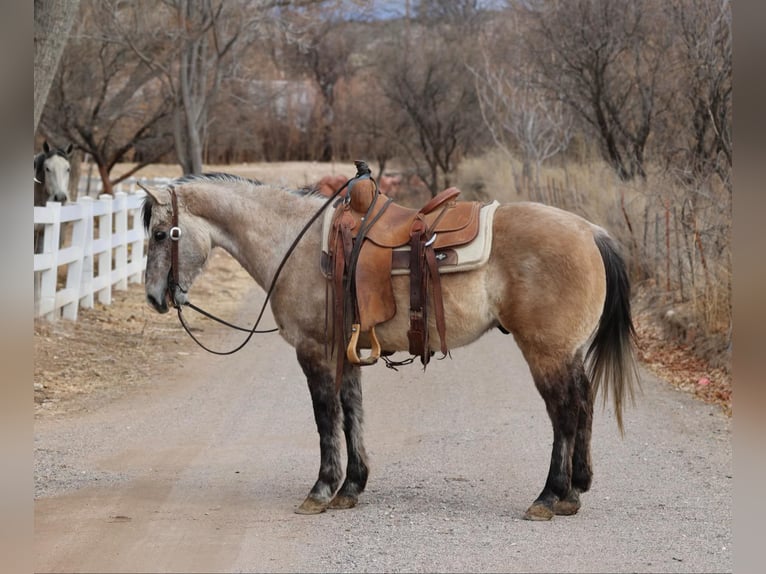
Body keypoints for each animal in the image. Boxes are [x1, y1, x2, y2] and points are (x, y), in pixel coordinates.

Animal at [140, 172, 639, 521]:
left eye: (161, 234)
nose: (154, 297)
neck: (296, 244)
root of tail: (591, 231)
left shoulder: (314, 352)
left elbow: (326, 418)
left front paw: (321, 490)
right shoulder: (346, 354)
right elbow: (352, 413)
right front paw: (351, 488)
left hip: (545, 352)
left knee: (564, 411)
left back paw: (550, 496)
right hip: (566, 352)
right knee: (583, 403)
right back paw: (574, 491)